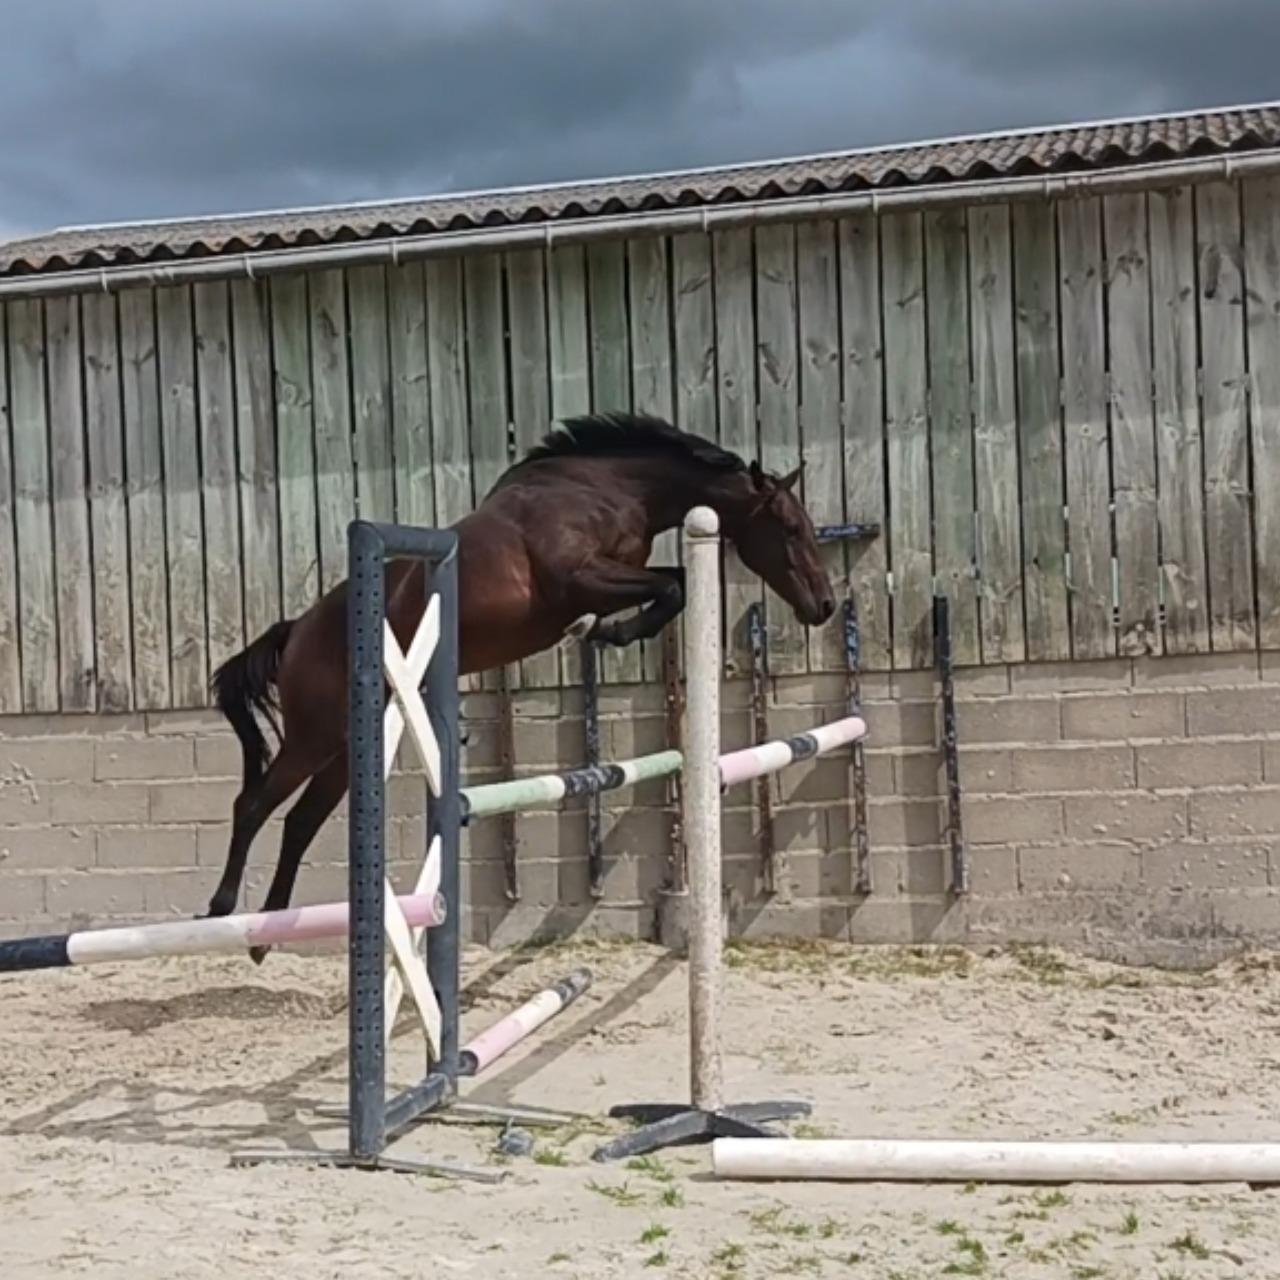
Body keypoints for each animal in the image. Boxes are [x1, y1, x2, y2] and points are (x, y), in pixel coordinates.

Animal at [203, 407, 834, 952]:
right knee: (253, 805)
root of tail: (297, 629)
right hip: (315, 736)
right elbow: (669, 586)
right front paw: (603, 631)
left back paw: (266, 934)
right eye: (788, 526)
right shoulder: (577, 579)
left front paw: (606, 631)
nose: (824, 606)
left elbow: (674, 580)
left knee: (299, 821)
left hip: (346, 747)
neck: (609, 491)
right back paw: (222, 908)